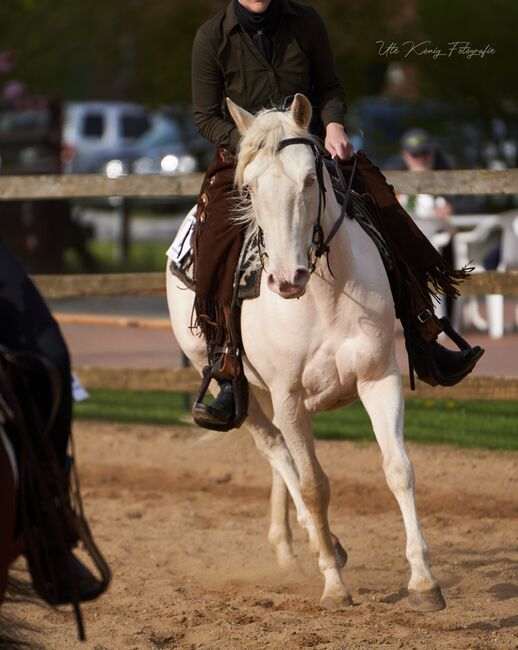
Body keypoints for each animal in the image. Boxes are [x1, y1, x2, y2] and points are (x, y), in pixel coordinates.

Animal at [168, 93, 446, 612]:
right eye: (250, 188)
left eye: (310, 179)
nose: (286, 279)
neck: (323, 296)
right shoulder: (289, 394)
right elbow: (314, 485)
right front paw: (334, 585)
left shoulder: (379, 378)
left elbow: (398, 469)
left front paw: (423, 581)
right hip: (234, 386)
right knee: (277, 449)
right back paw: (320, 544)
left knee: (288, 457)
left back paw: (296, 544)